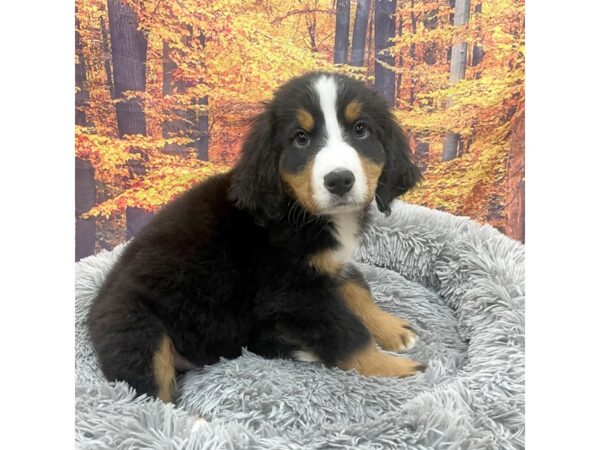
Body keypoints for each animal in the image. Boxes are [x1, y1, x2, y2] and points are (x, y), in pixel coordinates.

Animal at [90, 72, 426, 402]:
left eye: (360, 130)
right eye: (300, 138)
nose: (340, 180)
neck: (297, 208)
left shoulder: (329, 265)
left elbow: (358, 287)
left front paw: (391, 327)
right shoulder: (294, 292)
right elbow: (346, 333)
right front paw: (395, 369)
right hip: (141, 334)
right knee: (150, 399)